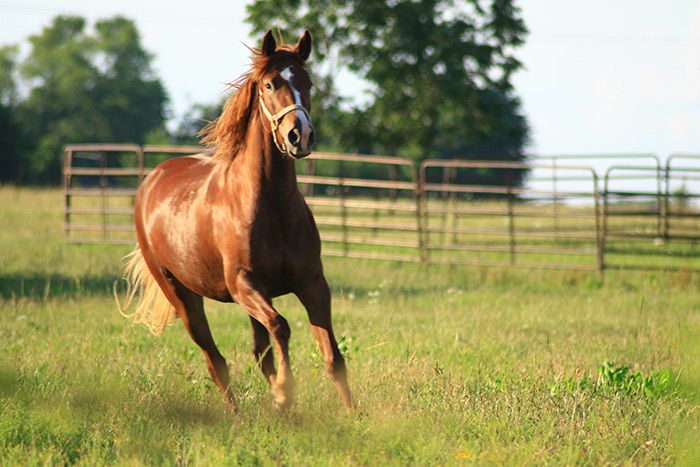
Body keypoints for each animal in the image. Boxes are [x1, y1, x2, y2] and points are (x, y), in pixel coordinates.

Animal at [119, 29, 356, 412]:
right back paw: (239, 415)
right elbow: (281, 326)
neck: (272, 207)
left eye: (308, 82)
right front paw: (284, 391)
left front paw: (352, 415)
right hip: (183, 296)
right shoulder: (244, 283)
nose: (300, 136)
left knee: (259, 353)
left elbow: (332, 356)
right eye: (270, 84)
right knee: (216, 361)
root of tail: (153, 177)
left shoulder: (312, 284)